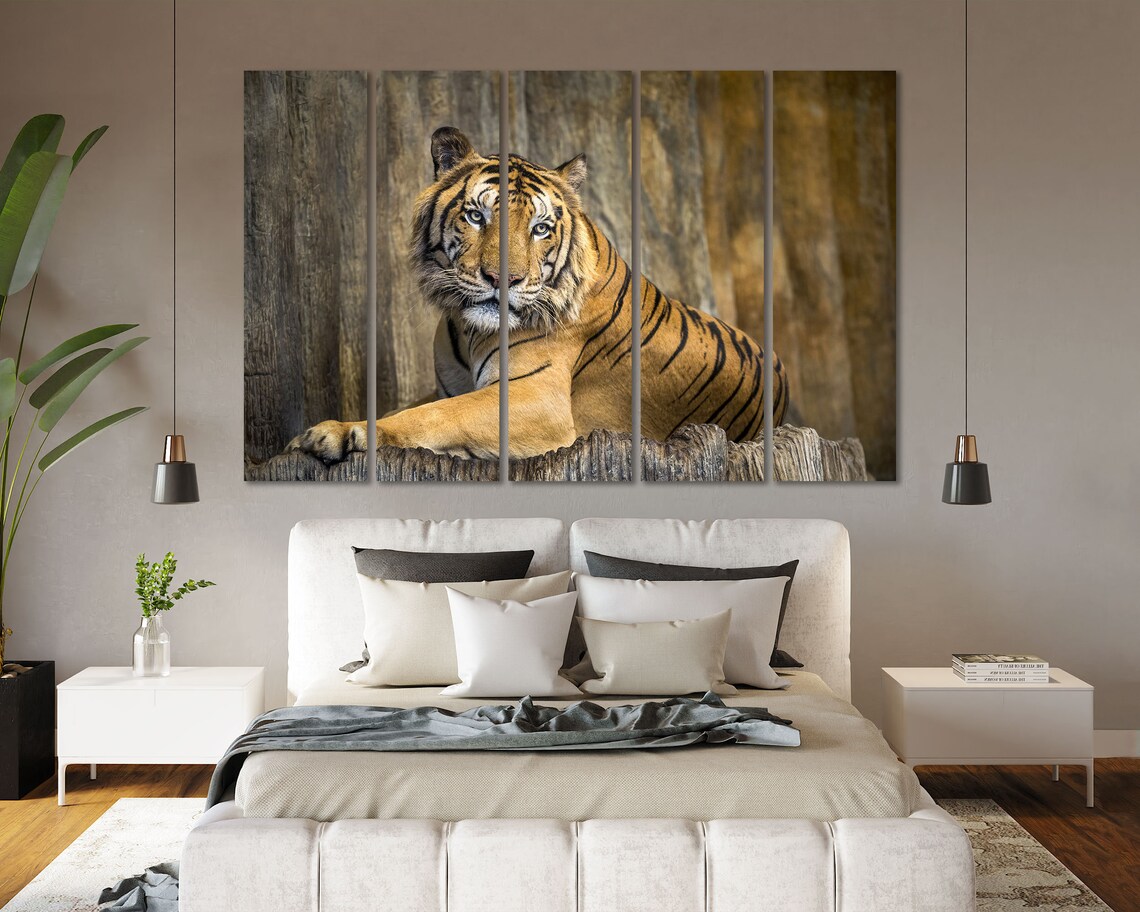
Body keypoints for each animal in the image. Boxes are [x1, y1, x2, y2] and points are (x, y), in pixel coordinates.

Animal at [286, 125, 788, 462]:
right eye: (476, 216)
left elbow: (437, 415)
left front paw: (337, 433)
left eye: (541, 228)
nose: (501, 279)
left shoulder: (537, 396)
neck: (468, 331)